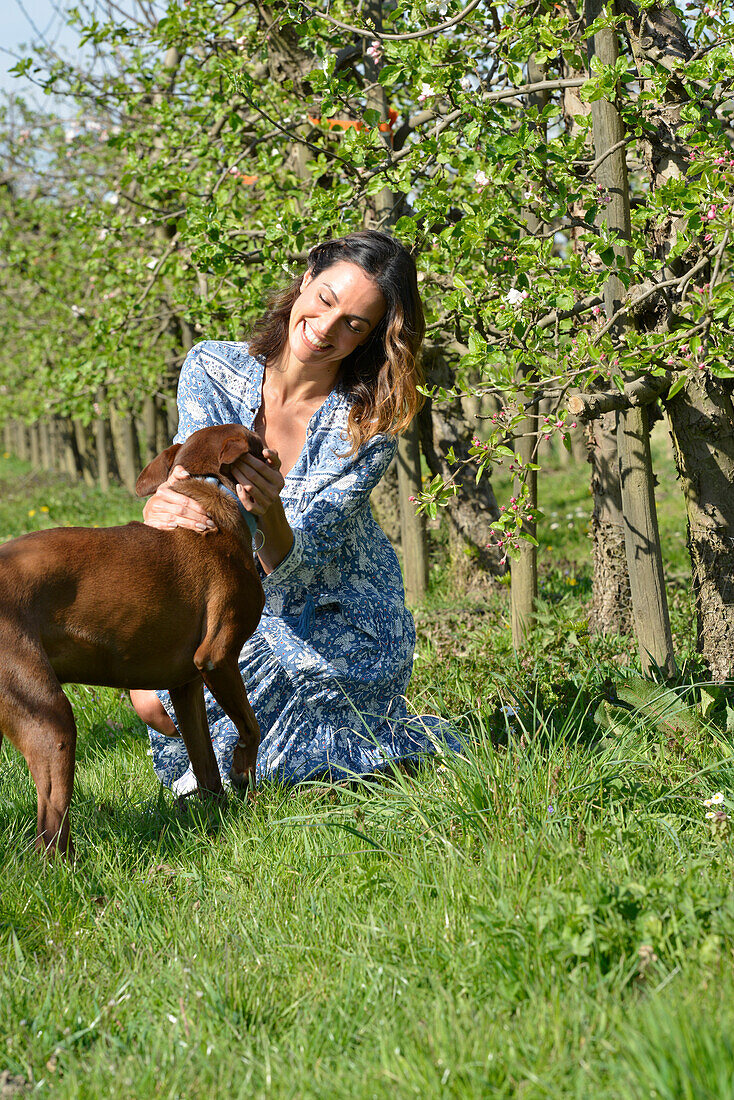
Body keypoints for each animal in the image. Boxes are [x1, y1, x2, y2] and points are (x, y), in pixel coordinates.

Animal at [0, 424, 267, 853]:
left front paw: (220, 817)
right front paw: (242, 772)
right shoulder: (218, 658)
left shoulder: (186, 686)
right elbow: (250, 726)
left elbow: (206, 763)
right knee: (49, 832)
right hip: (50, 720)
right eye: (257, 443)